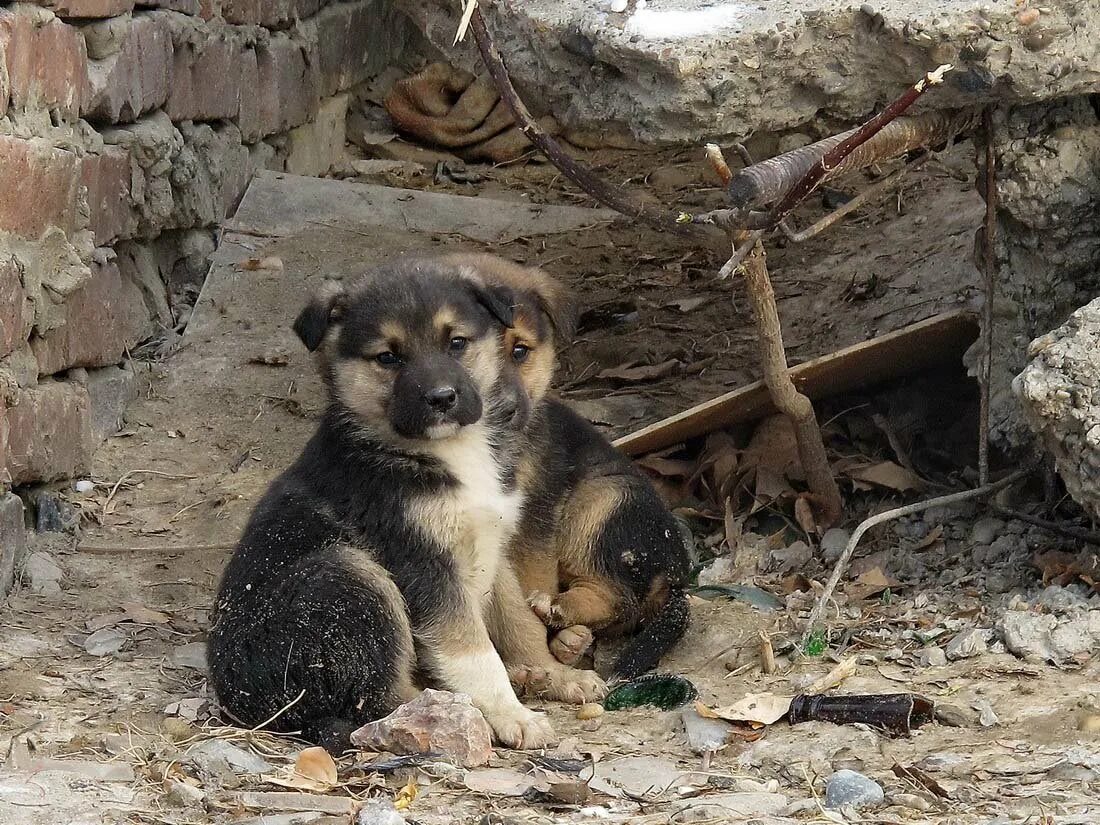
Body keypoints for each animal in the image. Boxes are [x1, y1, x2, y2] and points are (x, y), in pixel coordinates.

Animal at [206, 255, 607, 752]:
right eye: (388, 357)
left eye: (456, 343)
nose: (442, 398)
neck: (446, 451)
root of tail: (245, 706)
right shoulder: (425, 565)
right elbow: (475, 652)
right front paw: (511, 713)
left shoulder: (492, 548)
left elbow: (520, 624)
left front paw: (553, 674)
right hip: (349, 578)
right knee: (379, 699)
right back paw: (447, 711)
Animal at [437, 255, 686, 682]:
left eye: (520, 351)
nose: (505, 412)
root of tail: (675, 573)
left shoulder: (535, 514)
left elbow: (528, 579)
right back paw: (570, 639)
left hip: (603, 499)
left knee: (618, 597)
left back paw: (560, 613)